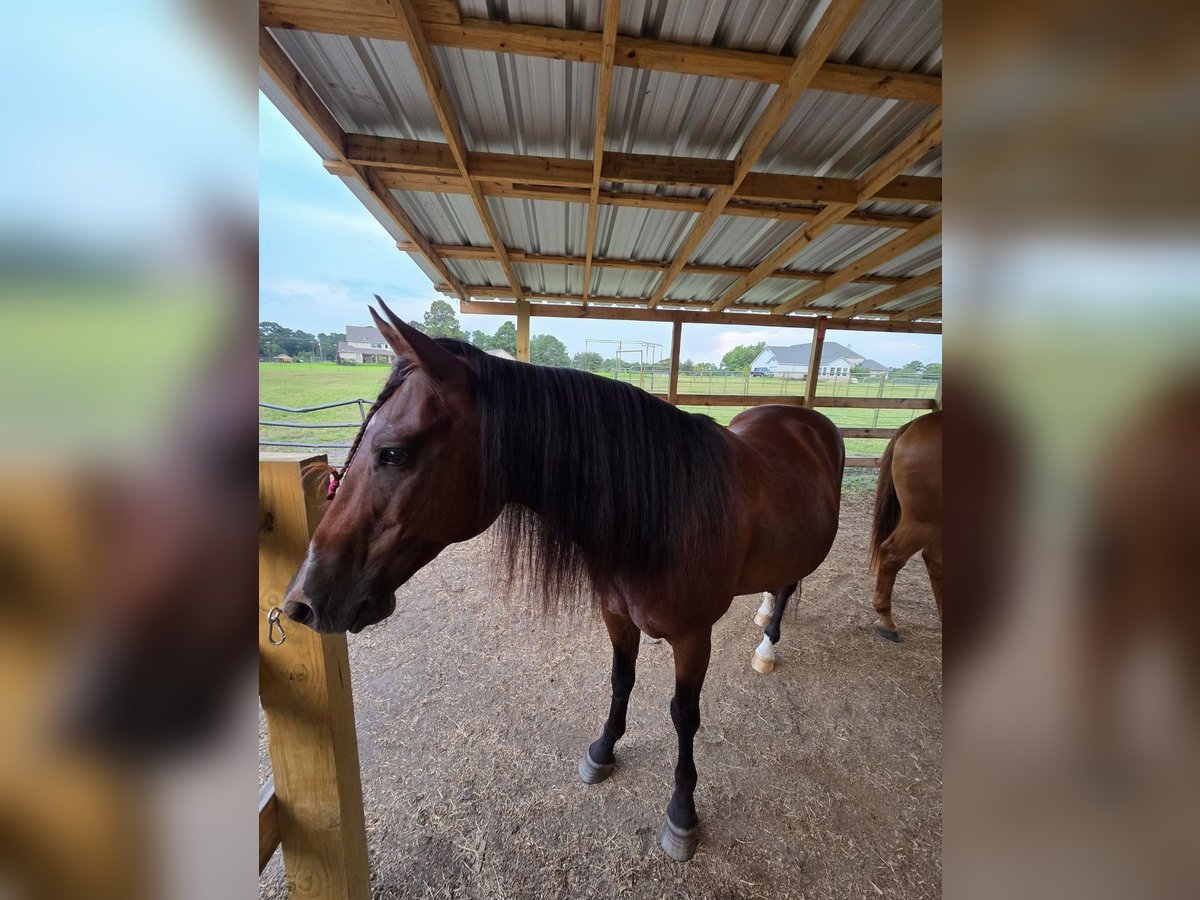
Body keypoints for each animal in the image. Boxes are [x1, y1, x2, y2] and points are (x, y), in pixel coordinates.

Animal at [282, 298, 845, 861]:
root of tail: (807, 418)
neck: (671, 508)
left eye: (394, 452)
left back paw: (767, 644)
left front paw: (682, 812)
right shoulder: (616, 615)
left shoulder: (693, 637)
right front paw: (603, 750)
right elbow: (621, 680)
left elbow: (685, 715)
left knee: (788, 585)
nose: (302, 601)